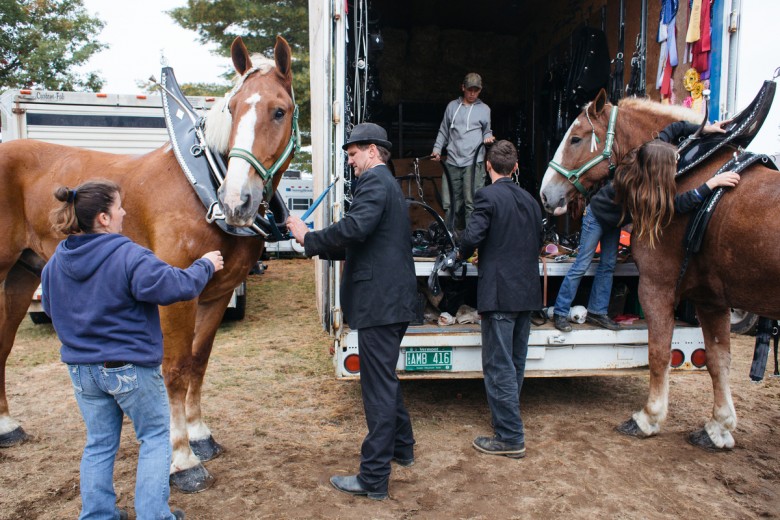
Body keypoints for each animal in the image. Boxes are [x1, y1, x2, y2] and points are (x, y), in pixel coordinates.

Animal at [0, 36, 298, 492]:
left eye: (279, 110)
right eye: (232, 109)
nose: (236, 202)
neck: (201, 185)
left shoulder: (217, 293)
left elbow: (199, 361)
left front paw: (200, 434)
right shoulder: (175, 297)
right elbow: (175, 369)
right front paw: (183, 459)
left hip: (20, 275)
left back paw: (6, 426)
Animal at [540, 89, 780, 450]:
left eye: (577, 138)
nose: (545, 193)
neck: (682, 172)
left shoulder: (657, 285)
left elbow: (659, 352)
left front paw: (648, 418)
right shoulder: (711, 298)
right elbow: (718, 359)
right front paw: (719, 427)